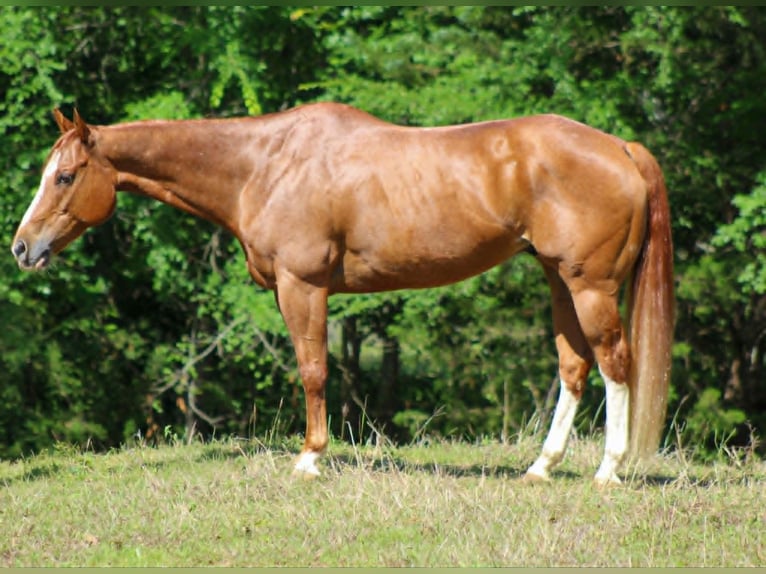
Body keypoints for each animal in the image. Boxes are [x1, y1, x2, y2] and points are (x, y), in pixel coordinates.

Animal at [11, 103, 674, 485]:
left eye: (64, 176)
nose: (21, 247)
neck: (264, 164)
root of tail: (621, 148)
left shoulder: (301, 286)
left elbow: (313, 370)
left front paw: (310, 457)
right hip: (559, 281)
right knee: (574, 368)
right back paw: (541, 468)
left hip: (589, 286)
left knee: (615, 364)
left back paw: (609, 470)